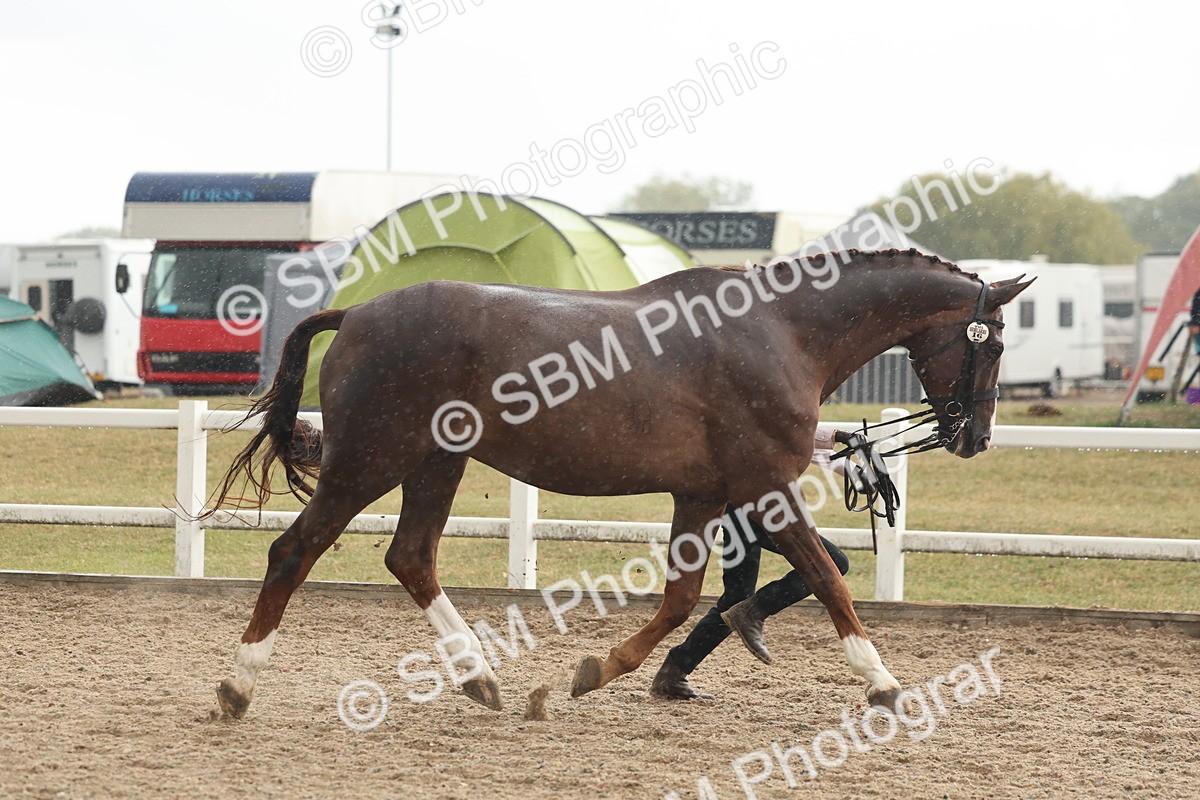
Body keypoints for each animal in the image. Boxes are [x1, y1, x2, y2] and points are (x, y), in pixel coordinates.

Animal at [208, 247, 1031, 719]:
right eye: (991, 345)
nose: (977, 437)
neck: (781, 332)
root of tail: (356, 314)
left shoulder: (703, 496)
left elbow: (682, 598)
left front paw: (595, 672)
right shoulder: (765, 487)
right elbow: (827, 579)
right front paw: (883, 683)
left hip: (437, 463)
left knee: (411, 556)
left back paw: (481, 680)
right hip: (370, 461)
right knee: (294, 552)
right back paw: (238, 686)